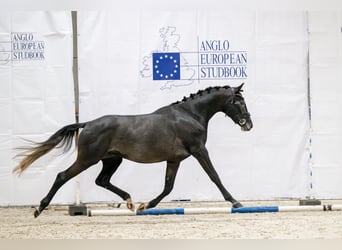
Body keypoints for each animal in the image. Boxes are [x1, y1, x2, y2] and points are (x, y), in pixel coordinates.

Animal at [13, 83, 252, 217]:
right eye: (239, 101)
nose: (248, 124)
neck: (190, 114)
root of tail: (87, 124)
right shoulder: (199, 150)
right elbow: (214, 176)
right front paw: (235, 202)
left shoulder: (174, 160)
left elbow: (168, 187)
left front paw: (146, 206)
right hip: (88, 160)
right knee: (62, 176)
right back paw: (39, 209)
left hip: (112, 160)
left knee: (102, 180)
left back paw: (129, 201)